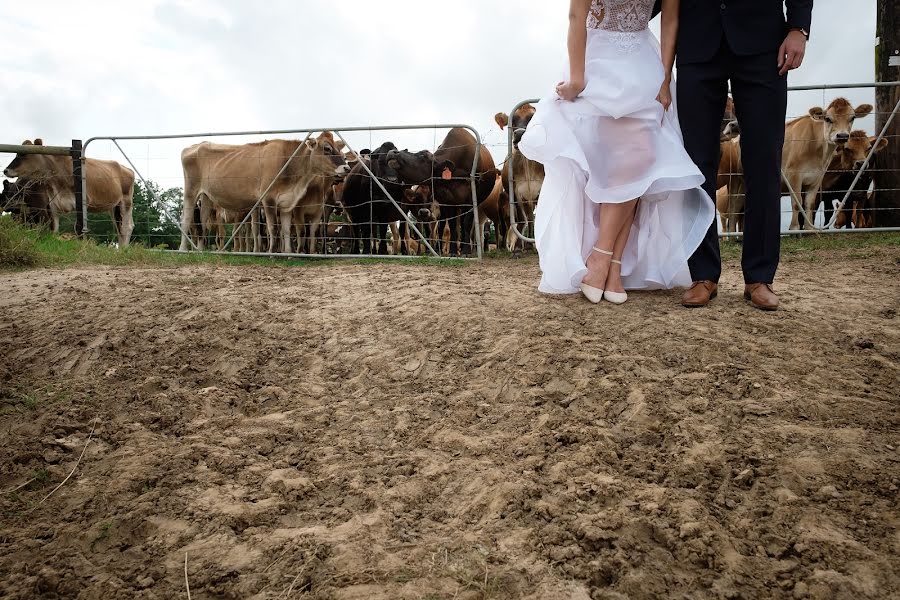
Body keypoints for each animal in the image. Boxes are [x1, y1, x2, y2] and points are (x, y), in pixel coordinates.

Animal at [1, 139, 134, 245]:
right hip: (113, 206)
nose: (5, 170)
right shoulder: (53, 205)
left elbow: (78, 228)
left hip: (126, 201)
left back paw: (124, 249)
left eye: (23, 153)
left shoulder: (82, 203)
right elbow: (53, 228)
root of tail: (126, 169)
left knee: (127, 226)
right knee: (119, 227)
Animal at [179, 132, 348, 252]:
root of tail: (197, 145)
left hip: (206, 196)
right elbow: (273, 228)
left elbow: (286, 230)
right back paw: (182, 250)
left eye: (340, 151)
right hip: (190, 191)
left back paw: (200, 250)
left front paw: (288, 253)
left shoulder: (287, 202)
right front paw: (272, 252)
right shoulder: (269, 199)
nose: (346, 168)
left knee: (201, 223)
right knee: (186, 220)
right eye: (327, 148)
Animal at [780, 98, 872, 230]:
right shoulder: (794, 175)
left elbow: (809, 204)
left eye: (852, 117)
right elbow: (797, 203)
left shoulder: (817, 178)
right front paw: (794, 229)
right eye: (828, 119)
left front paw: (809, 229)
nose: (842, 135)